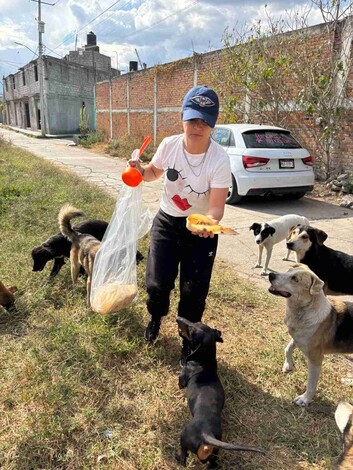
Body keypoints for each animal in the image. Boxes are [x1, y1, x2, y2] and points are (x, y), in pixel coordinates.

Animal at [176, 318, 264, 468]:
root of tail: (206, 434)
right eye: (197, 322)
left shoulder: (182, 379)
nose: (179, 318)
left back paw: (177, 458)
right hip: (214, 453)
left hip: (183, 438)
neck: (205, 361)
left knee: (183, 457)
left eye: (192, 331)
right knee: (212, 462)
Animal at [266, 266, 352, 406]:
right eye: (289, 270)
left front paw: (305, 400)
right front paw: (288, 365)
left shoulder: (316, 359)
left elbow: (311, 384)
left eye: (295, 279)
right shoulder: (298, 337)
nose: (271, 275)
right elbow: (287, 349)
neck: (306, 308)